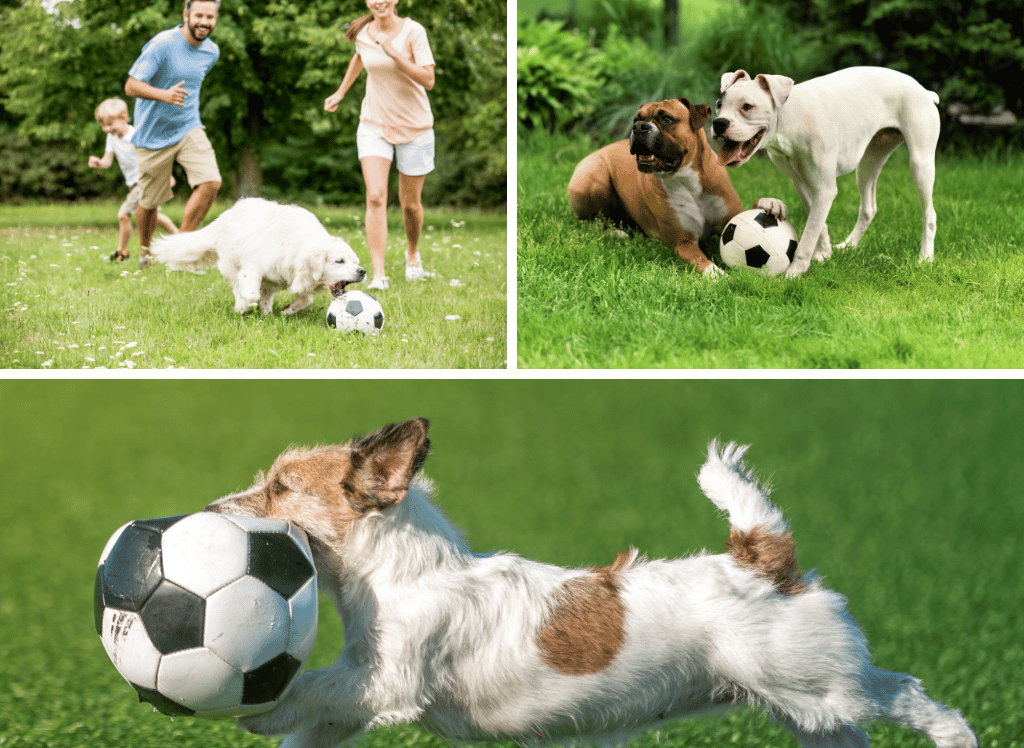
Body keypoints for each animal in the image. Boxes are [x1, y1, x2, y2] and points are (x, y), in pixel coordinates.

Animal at [569, 97, 782, 274]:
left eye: (666, 119)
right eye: (636, 119)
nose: (639, 127)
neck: (687, 180)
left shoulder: (731, 218)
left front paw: (769, 203)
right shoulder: (684, 243)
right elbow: (703, 261)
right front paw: (719, 276)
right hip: (595, 177)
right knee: (591, 223)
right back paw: (616, 233)